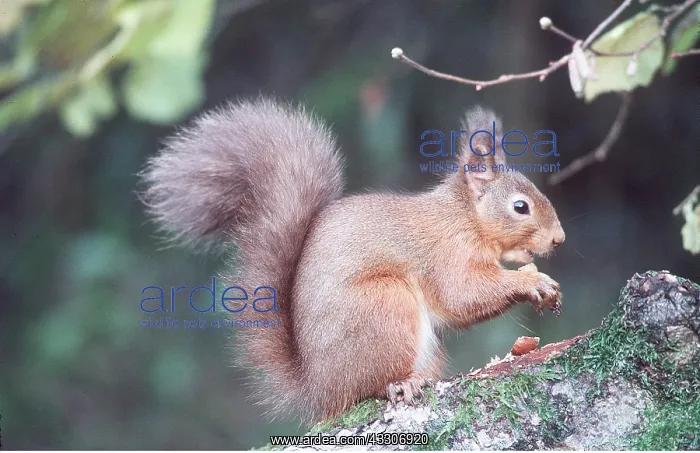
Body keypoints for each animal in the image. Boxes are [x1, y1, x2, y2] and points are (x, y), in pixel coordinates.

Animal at [140, 97, 565, 423]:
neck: (465, 217)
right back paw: (400, 383)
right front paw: (532, 281)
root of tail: (319, 389)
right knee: (369, 389)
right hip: (384, 304)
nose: (559, 239)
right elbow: (462, 295)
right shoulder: (446, 254)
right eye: (521, 207)